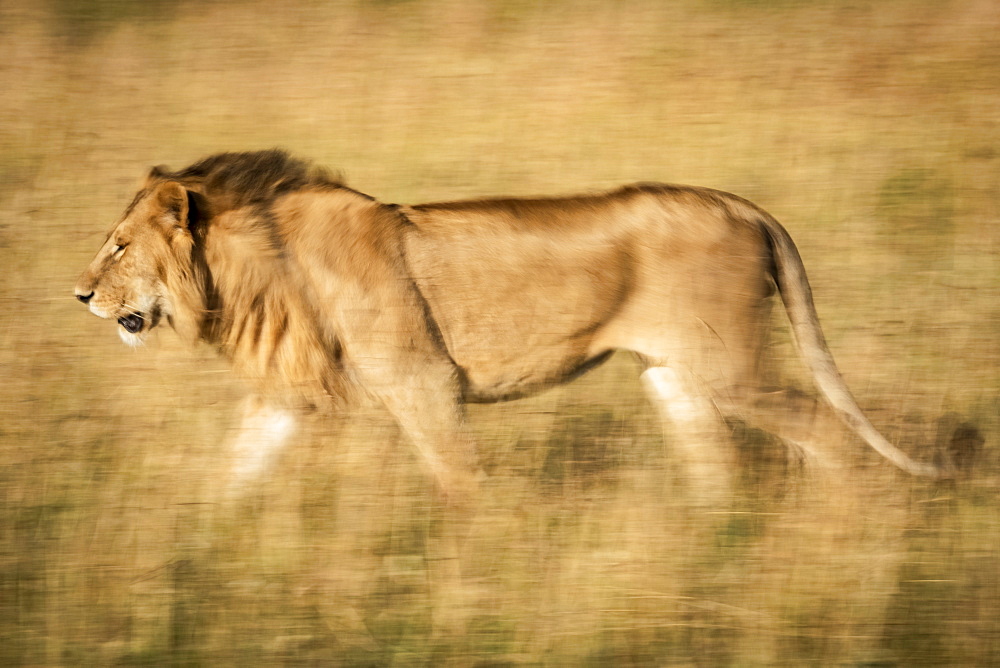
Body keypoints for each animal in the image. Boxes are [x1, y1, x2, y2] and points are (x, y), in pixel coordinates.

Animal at [74, 147, 940, 512]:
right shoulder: (282, 399)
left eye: (117, 245)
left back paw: (841, 531)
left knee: (823, 429)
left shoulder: (421, 380)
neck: (250, 275)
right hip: (674, 374)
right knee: (716, 466)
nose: (78, 293)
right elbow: (233, 473)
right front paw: (193, 546)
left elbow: (459, 481)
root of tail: (742, 204)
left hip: (732, 368)